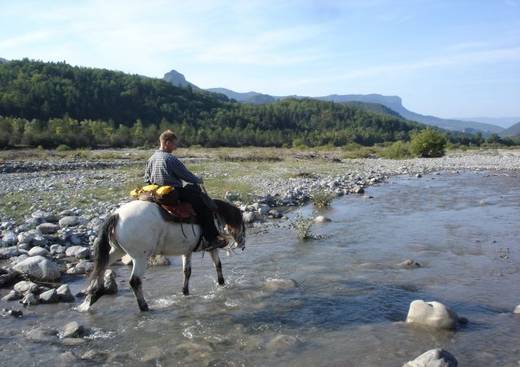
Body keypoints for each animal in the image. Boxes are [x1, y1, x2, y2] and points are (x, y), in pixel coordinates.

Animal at [78, 200, 245, 312]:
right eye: (242, 224)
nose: (242, 245)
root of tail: (116, 215)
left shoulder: (187, 251)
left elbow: (187, 272)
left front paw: (185, 292)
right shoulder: (212, 247)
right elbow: (218, 264)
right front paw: (222, 284)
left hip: (117, 251)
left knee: (102, 266)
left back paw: (95, 295)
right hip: (140, 257)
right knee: (134, 281)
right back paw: (144, 306)